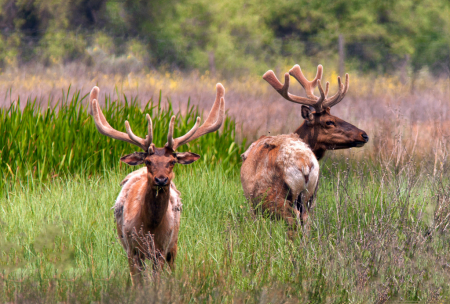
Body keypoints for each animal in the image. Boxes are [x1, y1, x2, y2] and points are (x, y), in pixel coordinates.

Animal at [88, 84, 225, 284]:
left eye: (173, 161)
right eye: (148, 161)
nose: (161, 179)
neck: (150, 229)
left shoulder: (161, 249)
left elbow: (156, 282)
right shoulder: (132, 249)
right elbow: (138, 282)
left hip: (174, 244)